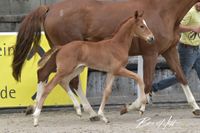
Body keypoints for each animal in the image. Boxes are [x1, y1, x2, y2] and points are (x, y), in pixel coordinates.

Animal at [12, 0, 200, 115]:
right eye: (142, 26)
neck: (162, 11)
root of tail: (50, 8)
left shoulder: (169, 50)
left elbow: (181, 76)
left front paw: (195, 108)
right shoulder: (150, 54)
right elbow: (146, 82)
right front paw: (133, 107)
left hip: (61, 54)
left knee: (45, 74)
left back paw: (38, 108)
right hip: (68, 56)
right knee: (66, 80)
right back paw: (88, 112)